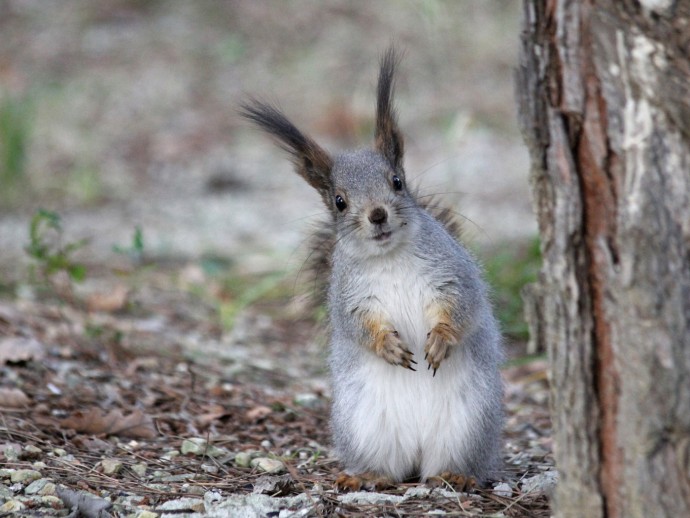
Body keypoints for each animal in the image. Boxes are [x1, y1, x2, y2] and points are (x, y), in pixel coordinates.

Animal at [239, 48, 502, 492]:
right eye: (339, 201)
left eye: (396, 181)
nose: (377, 215)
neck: (388, 256)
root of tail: (418, 456)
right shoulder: (349, 295)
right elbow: (357, 324)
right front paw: (387, 346)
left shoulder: (452, 272)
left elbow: (461, 305)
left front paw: (440, 339)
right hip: (366, 426)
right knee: (389, 467)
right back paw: (368, 477)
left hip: (468, 422)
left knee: (451, 461)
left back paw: (454, 475)